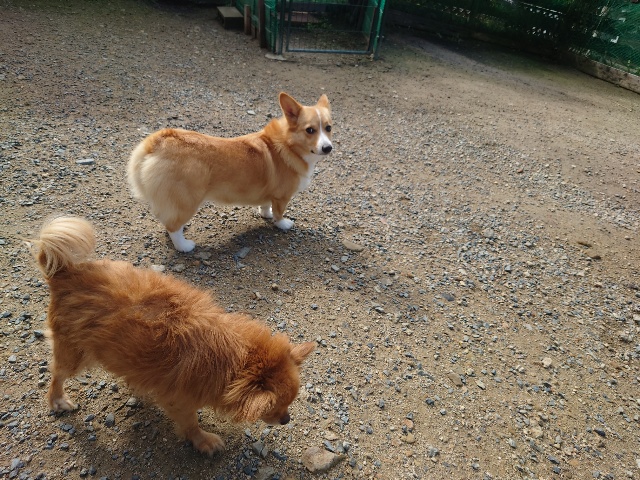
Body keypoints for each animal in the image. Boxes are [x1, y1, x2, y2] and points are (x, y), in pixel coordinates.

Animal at [32, 215, 315, 455]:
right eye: (275, 407)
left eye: (289, 404)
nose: (287, 419)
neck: (237, 359)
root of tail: (64, 273)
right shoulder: (179, 401)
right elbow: (190, 424)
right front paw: (203, 441)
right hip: (75, 354)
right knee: (57, 375)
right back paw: (58, 401)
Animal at [127, 92, 333, 252]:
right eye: (310, 130)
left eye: (328, 128)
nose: (328, 148)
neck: (289, 144)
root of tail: (157, 141)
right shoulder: (282, 196)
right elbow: (279, 213)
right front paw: (283, 224)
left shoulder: (271, 193)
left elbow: (266, 206)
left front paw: (265, 214)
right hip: (187, 200)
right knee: (173, 227)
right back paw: (184, 246)